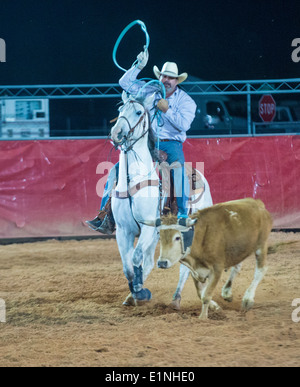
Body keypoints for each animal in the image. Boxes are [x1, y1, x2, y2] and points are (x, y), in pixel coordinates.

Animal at [110, 91, 213, 310]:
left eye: (138, 112)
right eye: (120, 109)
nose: (116, 133)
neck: (135, 180)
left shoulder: (148, 228)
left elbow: (136, 257)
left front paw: (140, 291)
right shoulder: (123, 230)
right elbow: (128, 266)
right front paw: (137, 292)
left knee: (184, 265)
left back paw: (176, 298)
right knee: (149, 261)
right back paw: (134, 295)